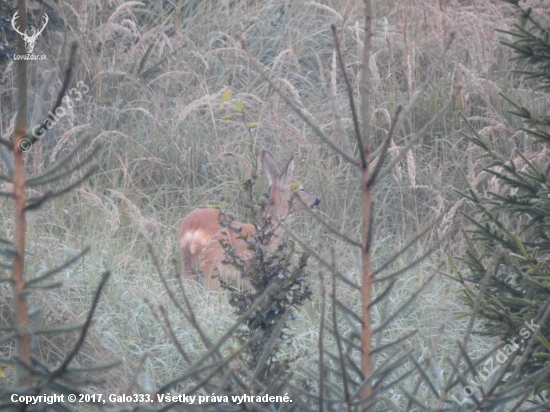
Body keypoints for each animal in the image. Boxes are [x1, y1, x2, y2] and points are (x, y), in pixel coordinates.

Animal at [178, 151, 320, 290]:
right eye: (300, 188)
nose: (317, 201)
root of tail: (192, 230)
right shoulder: (249, 273)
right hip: (213, 264)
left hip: (188, 265)